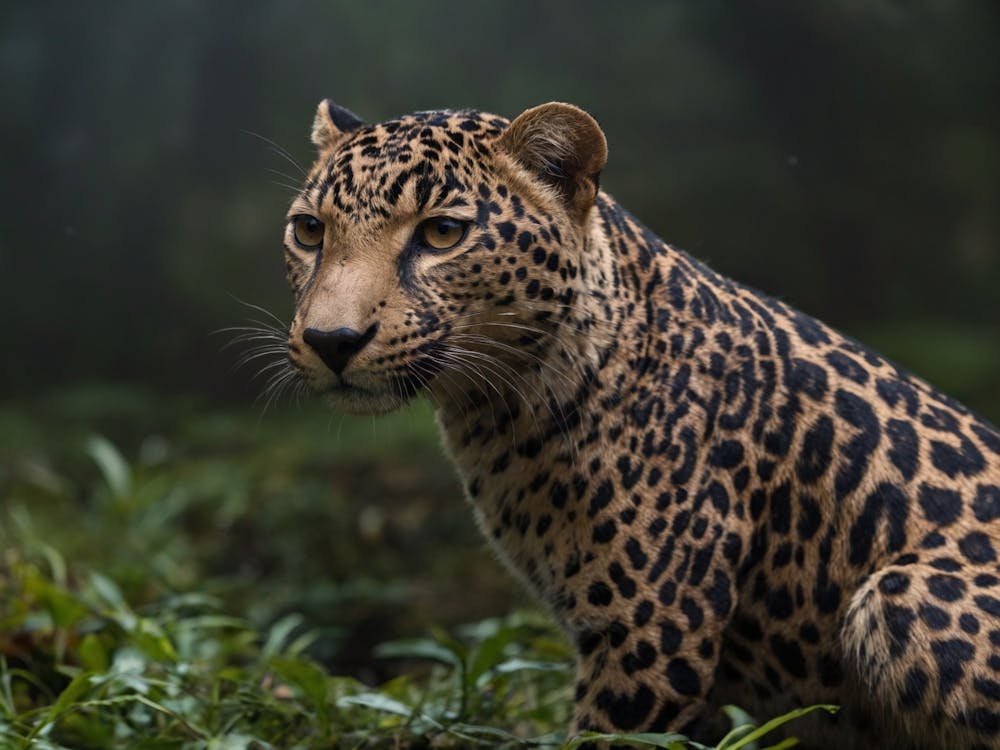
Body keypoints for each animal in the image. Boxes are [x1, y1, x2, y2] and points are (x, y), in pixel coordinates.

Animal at [277, 98, 1000, 749]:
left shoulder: (649, 634)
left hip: (895, 597)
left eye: (442, 234)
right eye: (309, 231)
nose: (331, 341)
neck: (496, 409)